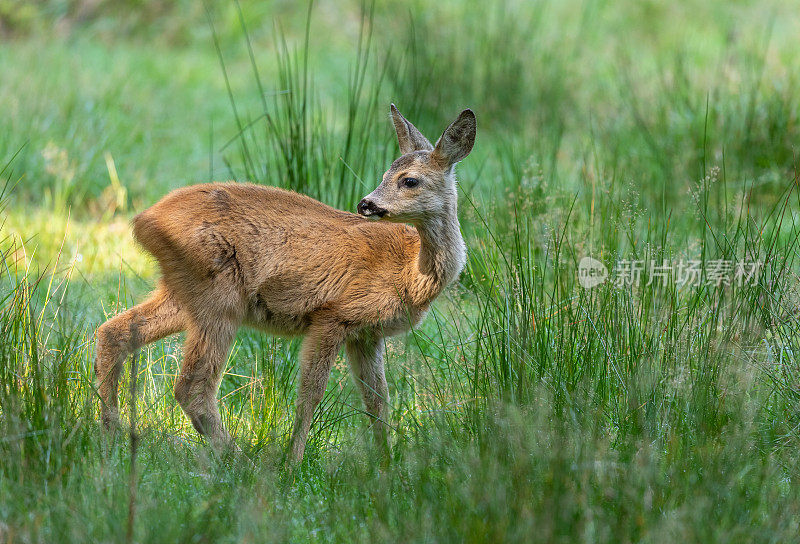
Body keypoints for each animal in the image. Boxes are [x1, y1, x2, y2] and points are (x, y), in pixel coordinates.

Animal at [97, 104, 478, 462]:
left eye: (409, 180)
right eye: (386, 174)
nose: (366, 203)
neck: (409, 274)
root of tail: (143, 221)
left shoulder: (367, 334)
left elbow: (377, 399)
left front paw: (385, 463)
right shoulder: (333, 315)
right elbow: (310, 393)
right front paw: (293, 461)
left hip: (184, 291)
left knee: (115, 331)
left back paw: (111, 434)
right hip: (217, 294)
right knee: (193, 386)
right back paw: (241, 462)